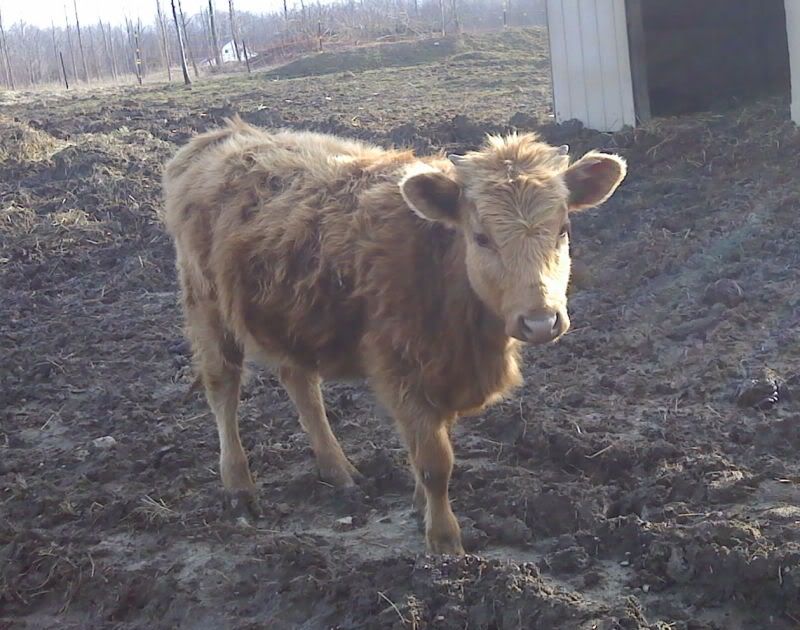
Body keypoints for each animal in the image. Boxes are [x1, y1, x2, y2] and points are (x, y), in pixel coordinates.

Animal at [162, 117, 626, 555]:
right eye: (481, 237)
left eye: (563, 228)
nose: (541, 321)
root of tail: (221, 137)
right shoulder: (401, 367)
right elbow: (435, 461)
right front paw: (444, 540)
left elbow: (428, 443)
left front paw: (421, 507)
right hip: (206, 307)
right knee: (223, 389)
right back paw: (240, 488)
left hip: (290, 319)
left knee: (301, 385)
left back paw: (338, 469)